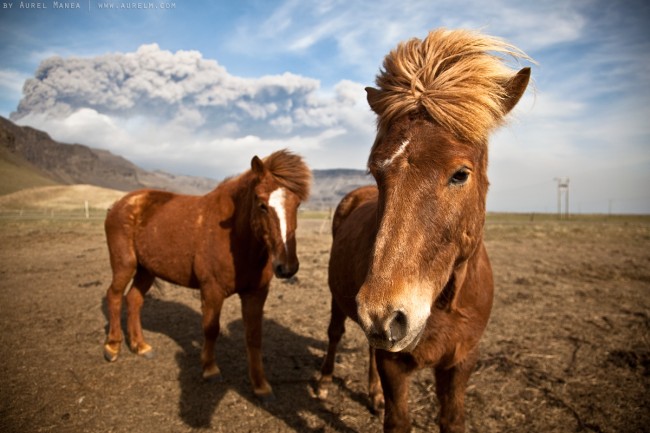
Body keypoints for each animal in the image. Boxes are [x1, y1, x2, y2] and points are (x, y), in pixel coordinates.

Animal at [103, 149, 311, 400]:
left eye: (297, 204)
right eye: (262, 204)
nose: (287, 267)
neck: (235, 238)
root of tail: (119, 204)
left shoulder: (256, 293)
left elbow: (254, 336)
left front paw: (260, 385)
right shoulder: (212, 290)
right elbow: (211, 329)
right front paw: (210, 369)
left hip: (146, 269)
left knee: (134, 299)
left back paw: (140, 346)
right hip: (125, 264)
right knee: (114, 296)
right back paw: (112, 347)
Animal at [316, 29, 532, 432]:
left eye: (460, 174)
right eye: (376, 170)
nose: (383, 315)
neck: (444, 303)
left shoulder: (461, 362)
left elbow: (452, 419)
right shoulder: (395, 365)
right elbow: (398, 420)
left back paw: (372, 393)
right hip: (339, 300)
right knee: (336, 332)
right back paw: (323, 383)